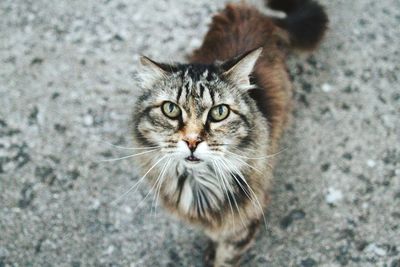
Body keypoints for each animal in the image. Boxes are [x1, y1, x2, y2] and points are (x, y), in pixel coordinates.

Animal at [131, 0, 328, 266]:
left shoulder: (243, 227)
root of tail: (252, 11)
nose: (192, 141)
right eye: (171, 109)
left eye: (219, 112)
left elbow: (224, 258)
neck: (200, 184)